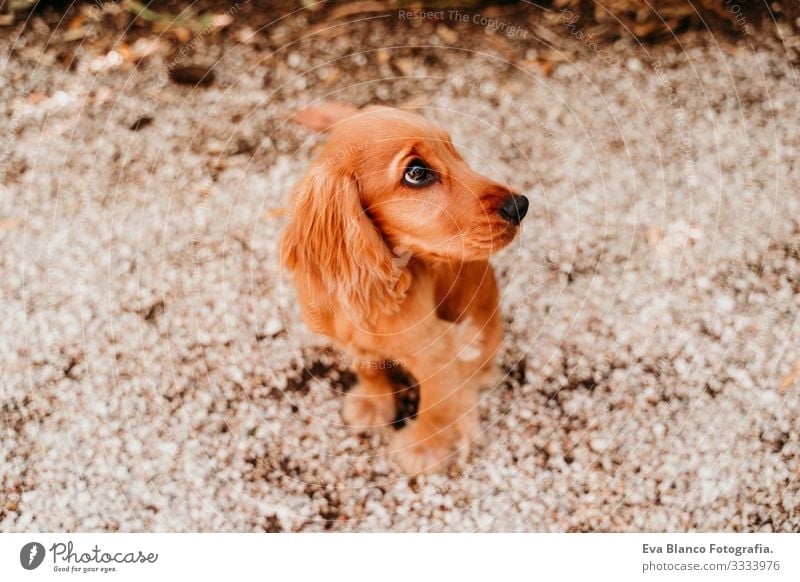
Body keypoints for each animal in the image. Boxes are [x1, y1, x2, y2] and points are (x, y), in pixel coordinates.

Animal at [282, 107, 532, 476]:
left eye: (453, 151)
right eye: (416, 172)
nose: (520, 205)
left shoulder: (439, 350)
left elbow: (436, 405)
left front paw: (423, 449)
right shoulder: (350, 337)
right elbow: (369, 369)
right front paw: (373, 406)